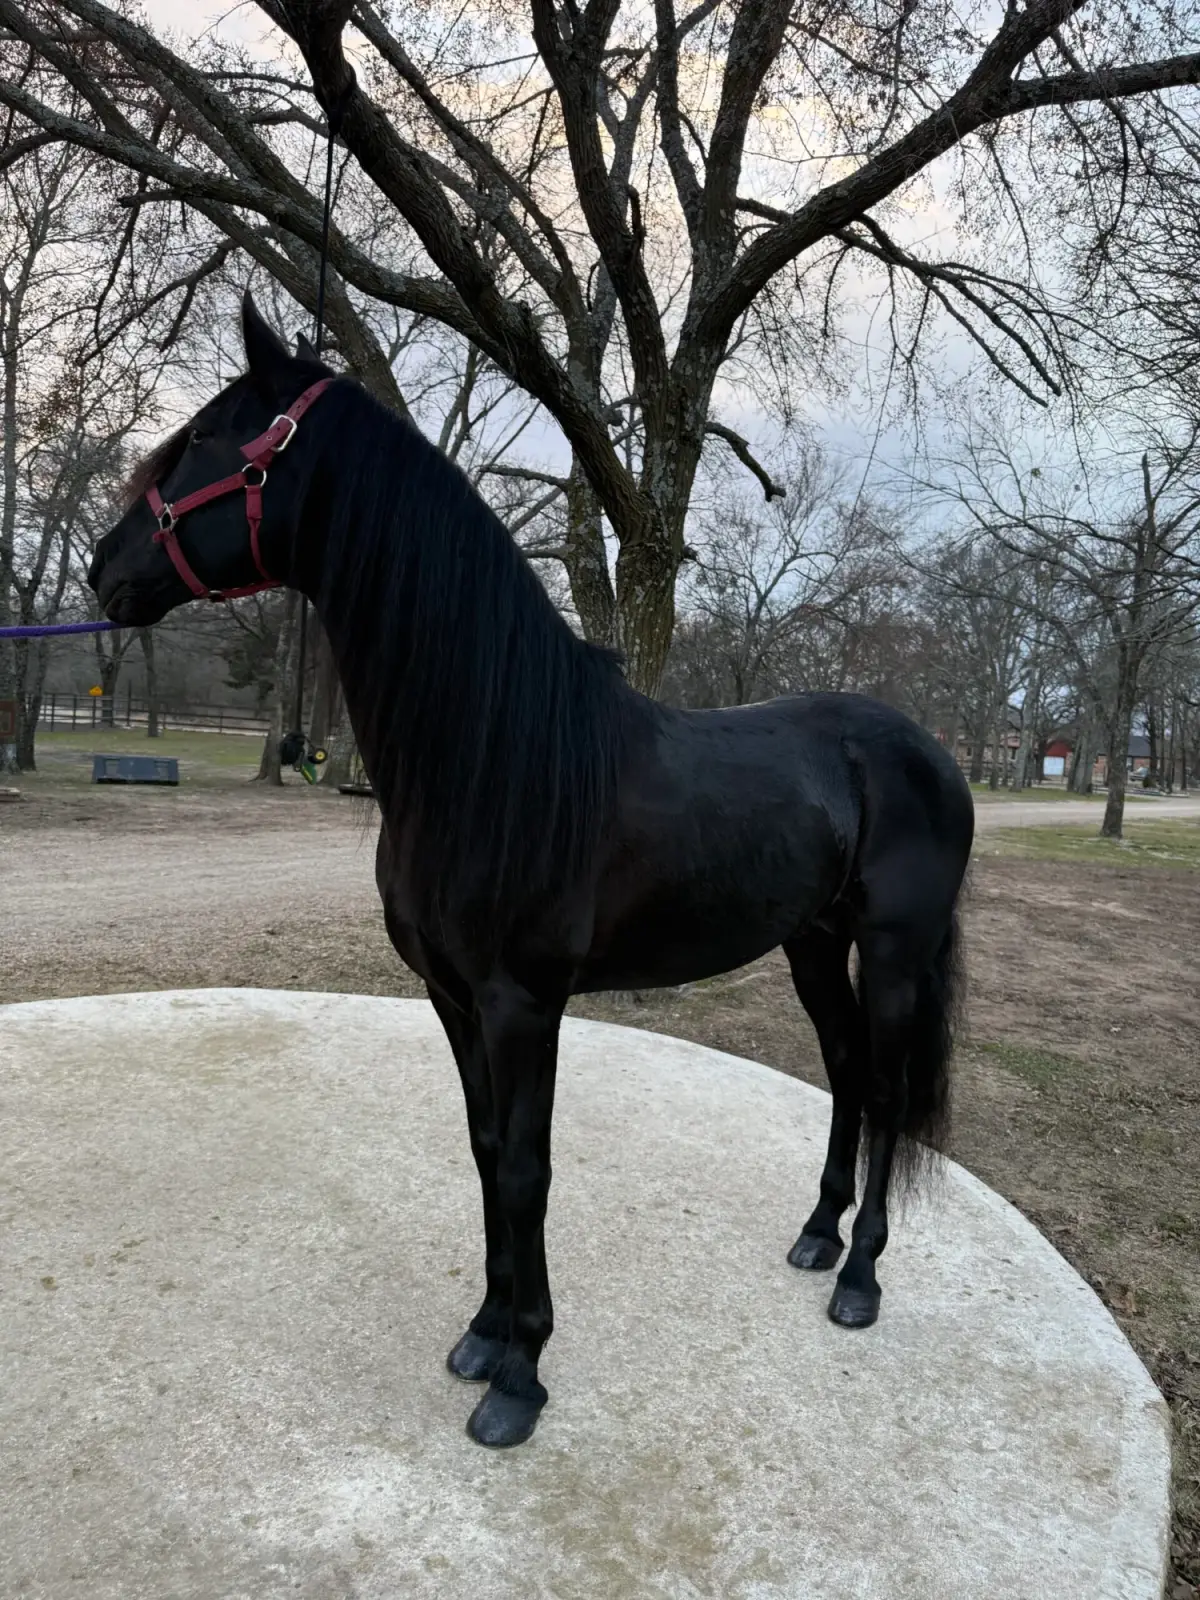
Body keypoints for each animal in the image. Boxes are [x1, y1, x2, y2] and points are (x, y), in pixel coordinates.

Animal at [88, 293, 974, 1450]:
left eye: (204, 437)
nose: (102, 568)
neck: (487, 753)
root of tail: (928, 751)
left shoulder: (523, 1002)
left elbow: (524, 1166)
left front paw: (521, 1376)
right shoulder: (452, 996)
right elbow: (481, 1150)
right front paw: (482, 1331)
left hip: (896, 950)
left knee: (883, 1087)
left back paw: (861, 1278)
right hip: (813, 944)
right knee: (844, 1072)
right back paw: (817, 1236)